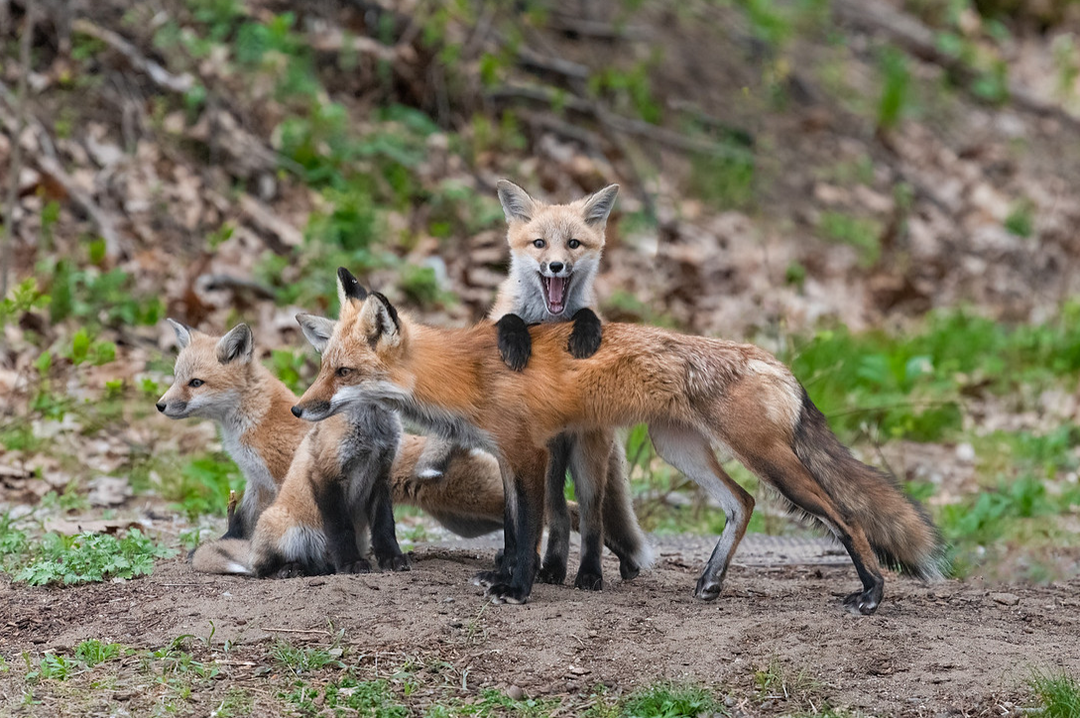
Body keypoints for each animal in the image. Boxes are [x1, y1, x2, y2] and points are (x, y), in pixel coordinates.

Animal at [292, 267, 945, 614]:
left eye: (343, 373)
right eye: (323, 368)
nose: (301, 408)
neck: (466, 373)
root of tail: (774, 361)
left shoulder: (527, 452)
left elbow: (528, 529)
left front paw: (518, 588)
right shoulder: (505, 456)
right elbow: (513, 526)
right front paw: (503, 576)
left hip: (769, 461)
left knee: (845, 516)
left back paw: (871, 592)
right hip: (680, 450)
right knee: (743, 502)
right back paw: (710, 582)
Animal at [414, 180, 651, 591]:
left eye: (573, 244)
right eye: (539, 243)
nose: (556, 265)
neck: (547, 321)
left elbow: (589, 314)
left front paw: (584, 333)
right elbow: (514, 525)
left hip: (585, 462)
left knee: (591, 520)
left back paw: (588, 573)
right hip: (552, 468)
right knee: (557, 517)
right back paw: (551, 568)